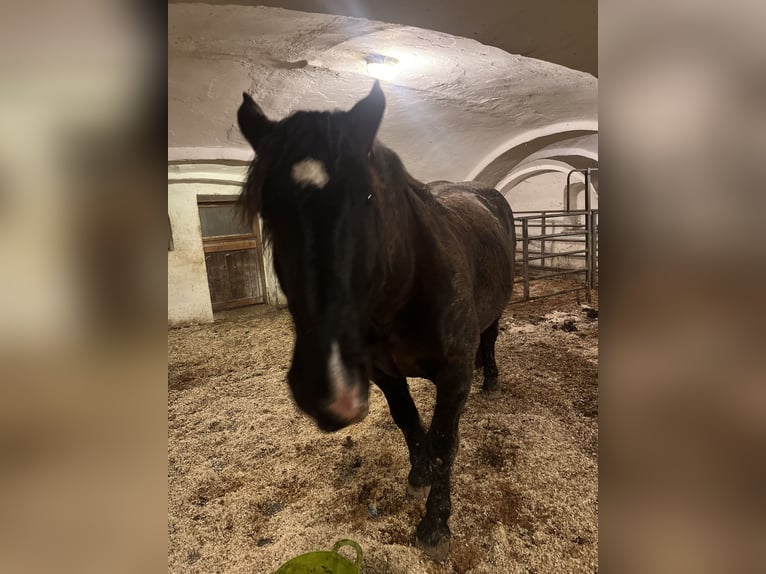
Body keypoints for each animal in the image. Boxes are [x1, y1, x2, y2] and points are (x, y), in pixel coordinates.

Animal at [237, 81, 516, 561]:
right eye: (267, 209)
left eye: (368, 197)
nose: (325, 387)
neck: (404, 294)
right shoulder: (384, 375)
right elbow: (408, 422)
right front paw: (418, 476)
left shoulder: (453, 376)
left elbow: (444, 444)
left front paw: (435, 526)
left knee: (490, 338)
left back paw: (491, 378)